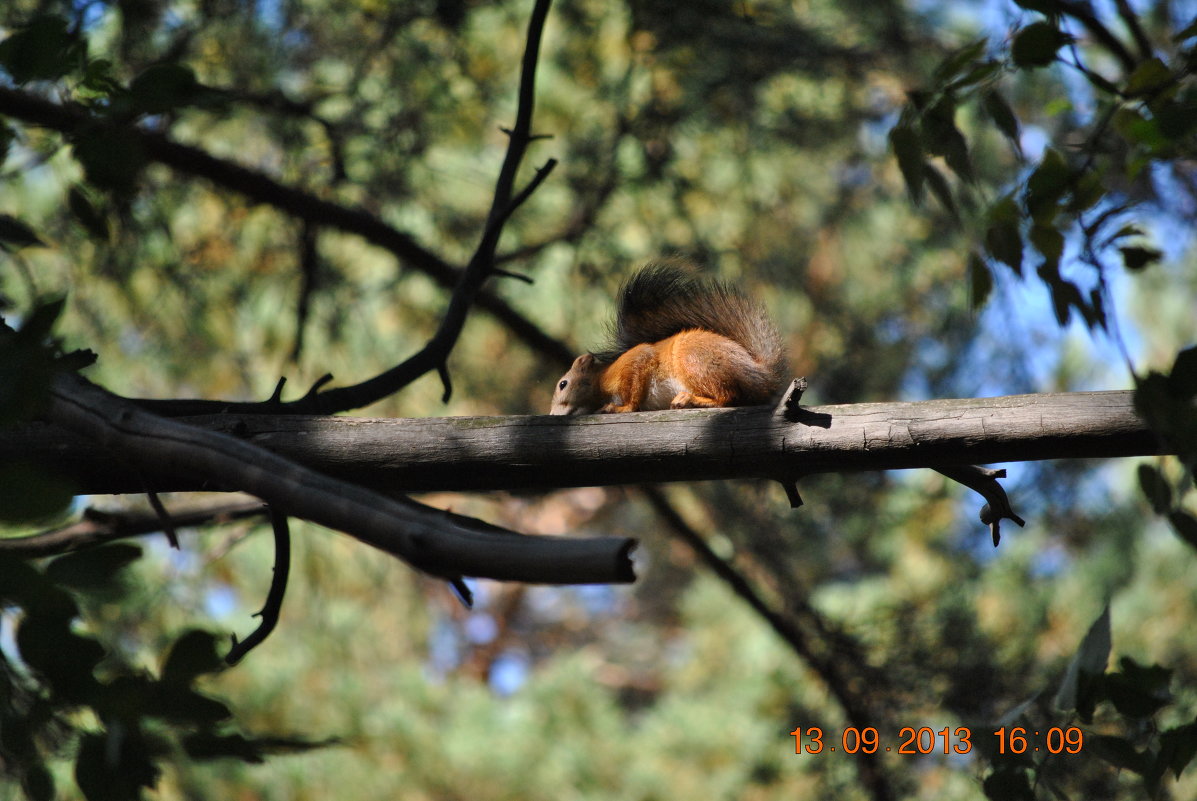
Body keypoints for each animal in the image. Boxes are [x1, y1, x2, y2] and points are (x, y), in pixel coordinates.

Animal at [548, 262, 785, 416]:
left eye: (563, 384)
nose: (552, 414)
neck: (599, 380)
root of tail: (756, 370)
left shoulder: (635, 360)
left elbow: (634, 392)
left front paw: (620, 408)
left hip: (695, 361)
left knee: (728, 396)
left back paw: (689, 399)